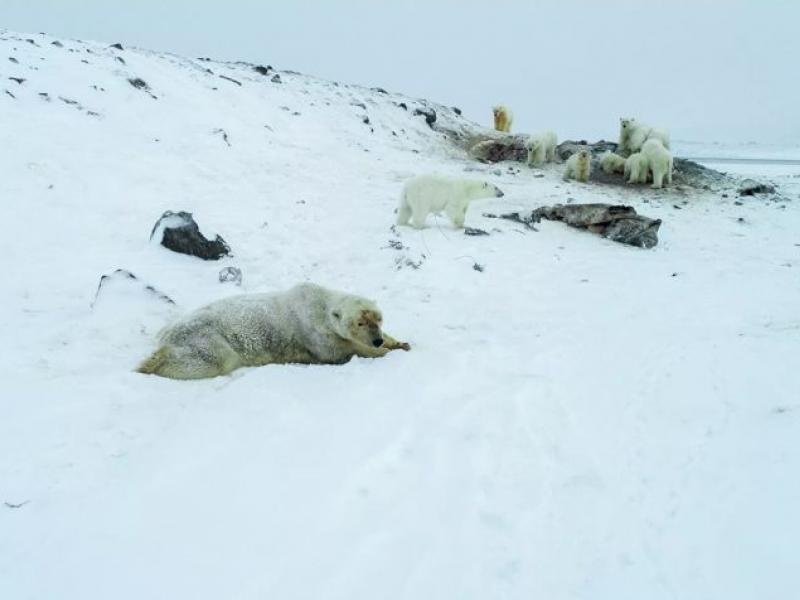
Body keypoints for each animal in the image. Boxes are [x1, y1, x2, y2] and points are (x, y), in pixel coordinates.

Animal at [137, 282, 410, 380]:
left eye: (378, 319)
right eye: (359, 323)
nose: (376, 340)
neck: (319, 304)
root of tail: (165, 332)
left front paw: (399, 342)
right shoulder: (313, 332)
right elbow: (339, 351)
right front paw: (382, 352)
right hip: (205, 336)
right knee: (211, 359)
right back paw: (150, 363)